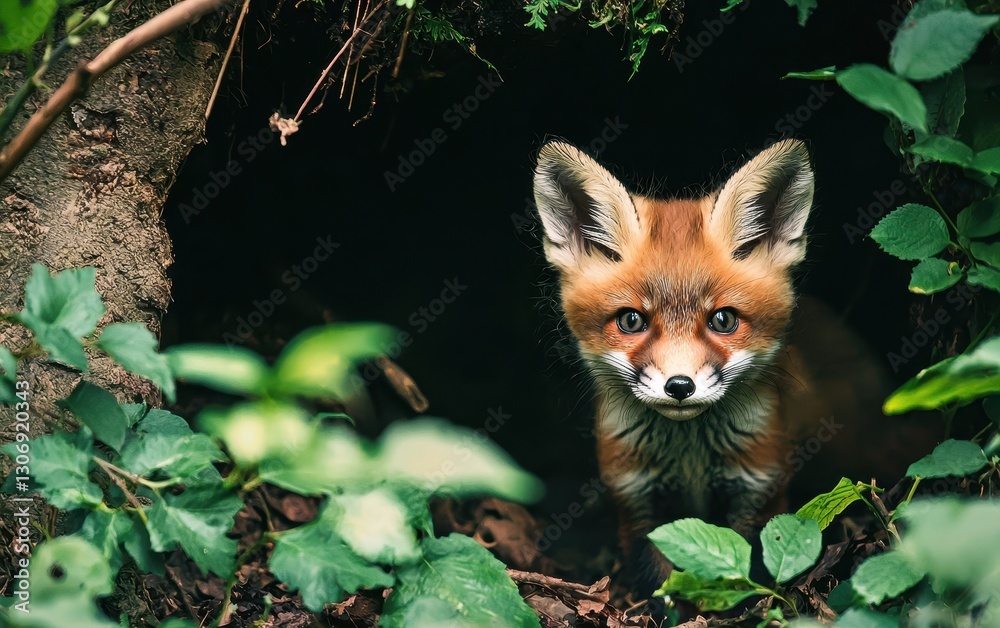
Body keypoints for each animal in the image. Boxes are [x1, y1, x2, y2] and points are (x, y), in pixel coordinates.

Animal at [532, 139, 924, 592]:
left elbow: (746, 575)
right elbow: (661, 585)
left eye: (723, 320)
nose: (679, 386)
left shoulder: (759, 488)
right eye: (631, 321)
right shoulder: (637, 497)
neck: (691, 460)